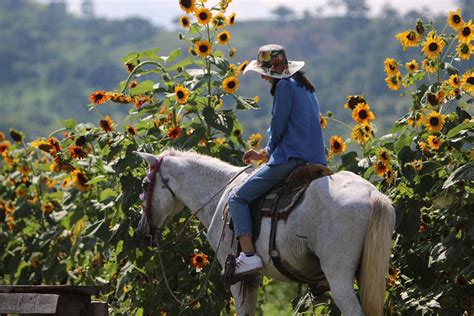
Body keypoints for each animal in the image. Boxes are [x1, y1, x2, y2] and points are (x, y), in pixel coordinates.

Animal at [137, 149, 396, 316]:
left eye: (145, 184)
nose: (143, 230)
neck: (220, 195)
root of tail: (373, 195)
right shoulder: (253, 278)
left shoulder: (237, 277)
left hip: (339, 276)